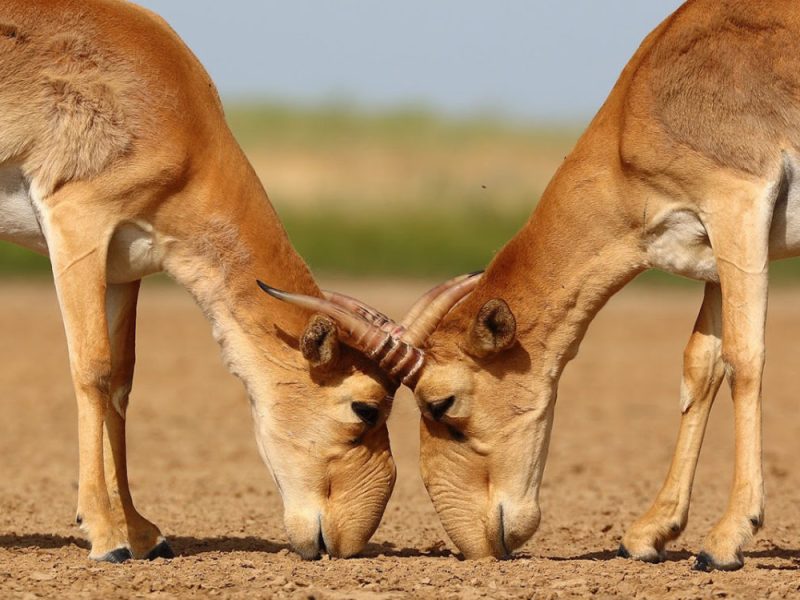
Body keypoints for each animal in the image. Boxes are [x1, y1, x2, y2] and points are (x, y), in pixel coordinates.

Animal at [0, 0, 478, 563]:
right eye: (365, 407)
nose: (346, 542)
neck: (167, 101)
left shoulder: (122, 265)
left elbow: (120, 382)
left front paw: (141, 532)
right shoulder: (78, 226)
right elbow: (92, 370)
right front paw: (105, 536)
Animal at [269, 0, 800, 571]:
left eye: (442, 403)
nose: (478, 544)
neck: (643, 103)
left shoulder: (737, 206)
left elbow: (744, 359)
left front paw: (725, 540)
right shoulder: (710, 247)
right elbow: (701, 367)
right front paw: (647, 534)